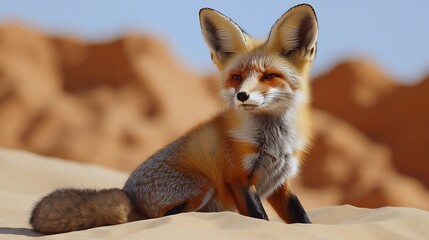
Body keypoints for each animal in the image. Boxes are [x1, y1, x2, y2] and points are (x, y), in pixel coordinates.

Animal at [30, 2, 318, 233]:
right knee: (157, 219)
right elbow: (259, 218)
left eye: (270, 76)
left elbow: (301, 217)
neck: (273, 140)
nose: (242, 96)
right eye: (236, 77)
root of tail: (130, 195)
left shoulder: (280, 181)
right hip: (200, 185)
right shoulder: (238, 178)